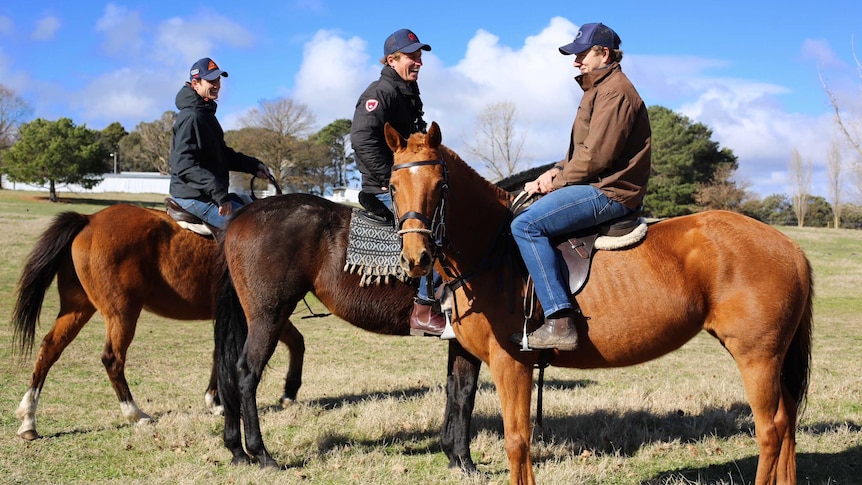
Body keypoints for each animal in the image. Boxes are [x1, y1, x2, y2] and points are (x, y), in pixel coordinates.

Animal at [11, 202, 308, 440]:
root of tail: (89, 219)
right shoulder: (265, 313)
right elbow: (296, 341)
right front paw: (288, 392)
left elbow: (221, 354)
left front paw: (214, 400)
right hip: (122, 312)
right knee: (112, 359)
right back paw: (134, 413)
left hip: (78, 307)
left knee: (50, 348)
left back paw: (29, 420)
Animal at [214, 193, 486, 468]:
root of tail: (243, 215)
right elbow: (465, 392)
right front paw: (464, 459)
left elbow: (454, 388)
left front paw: (452, 452)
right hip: (268, 317)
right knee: (247, 374)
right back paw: (261, 452)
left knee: (229, 374)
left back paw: (237, 449)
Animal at [386, 122, 816, 484]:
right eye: (392, 186)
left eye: (440, 185)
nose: (416, 258)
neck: (496, 251)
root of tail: (790, 247)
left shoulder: (512, 364)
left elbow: (517, 441)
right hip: (772, 358)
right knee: (787, 422)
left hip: (757, 357)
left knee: (770, 431)